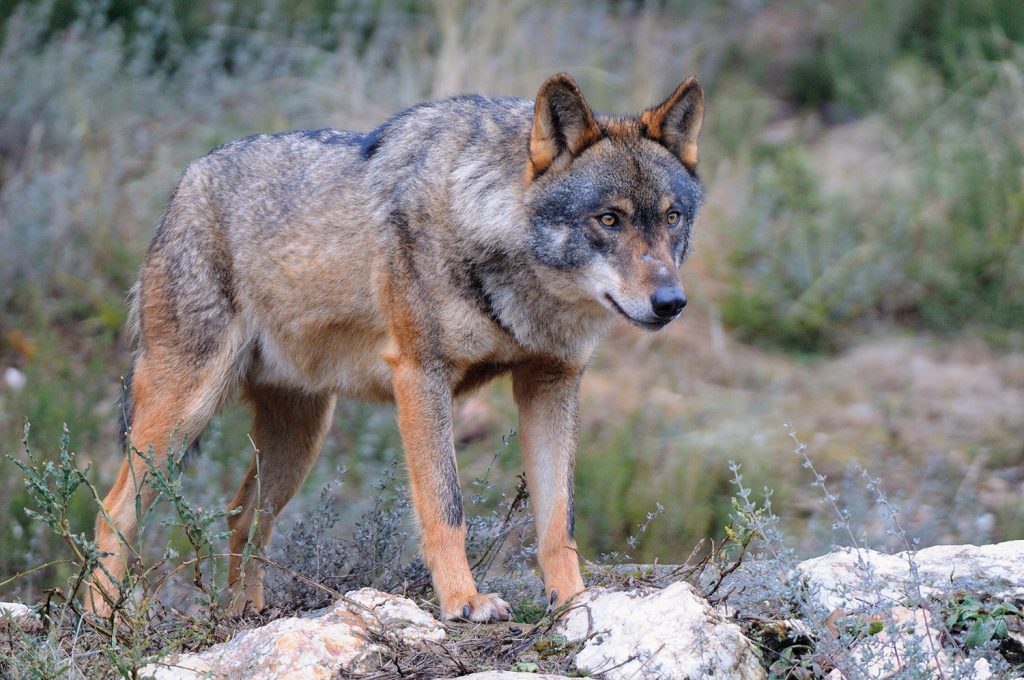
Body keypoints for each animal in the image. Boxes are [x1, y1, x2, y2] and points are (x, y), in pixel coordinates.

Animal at [86, 73, 704, 622]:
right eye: (609, 219)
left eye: (672, 218)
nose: (672, 303)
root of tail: (187, 179)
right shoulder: (421, 375)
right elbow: (446, 508)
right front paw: (465, 602)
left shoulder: (551, 382)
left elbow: (559, 521)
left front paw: (574, 601)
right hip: (183, 416)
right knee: (112, 511)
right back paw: (101, 624)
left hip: (301, 437)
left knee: (241, 517)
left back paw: (245, 614)